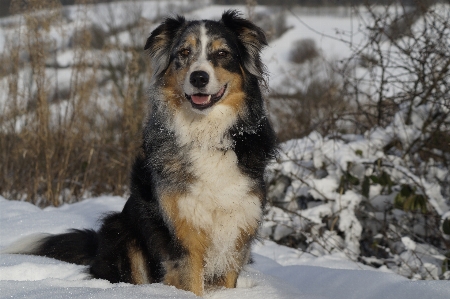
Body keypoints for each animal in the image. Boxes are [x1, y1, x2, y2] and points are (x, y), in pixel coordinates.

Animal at [4, 9, 278, 298]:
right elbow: (190, 281)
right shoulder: (181, 232)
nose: (199, 78)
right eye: (183, 52)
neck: (206, 133)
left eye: (222, 53)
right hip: (121, 233)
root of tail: (97, 245)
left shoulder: (236, 230)